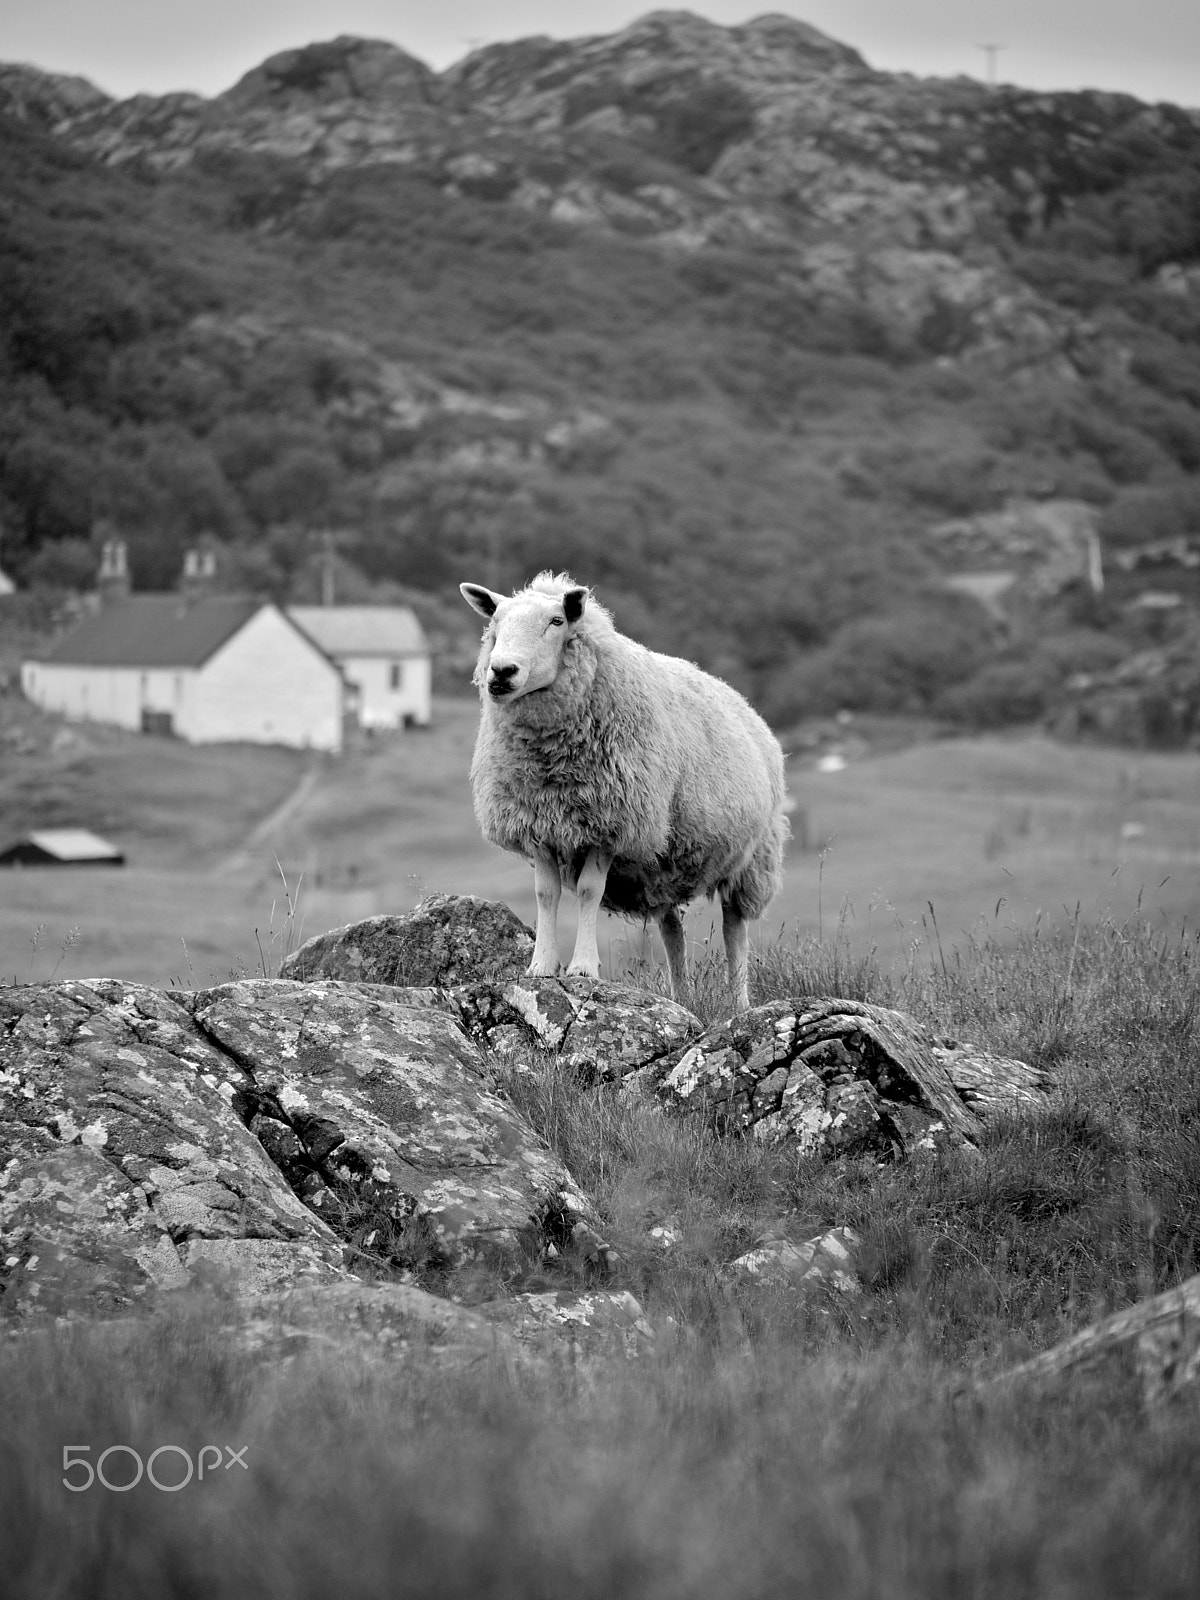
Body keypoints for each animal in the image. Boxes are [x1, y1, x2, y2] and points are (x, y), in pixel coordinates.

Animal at [460, 569, 790, 1004]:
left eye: (556, 621)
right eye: (496, 621)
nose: (501, 672)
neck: (550, 763)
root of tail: (742, 702)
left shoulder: (612, 825)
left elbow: (588, 891)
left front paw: (583, 969)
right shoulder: (539, 824)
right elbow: (546, 895)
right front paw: (541, 967)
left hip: (751, 858)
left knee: (735, 926)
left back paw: (738, 1002)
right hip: (664, 866)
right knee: (672, 929)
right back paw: (680, 997)